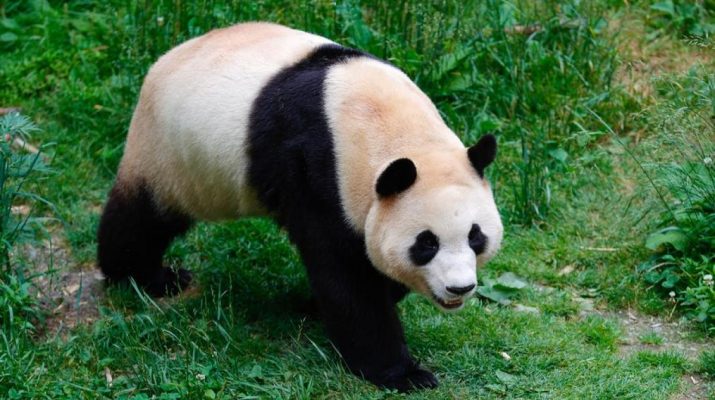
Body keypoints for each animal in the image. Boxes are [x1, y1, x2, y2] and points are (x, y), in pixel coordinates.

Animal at [98, 22, 503, 392]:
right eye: (426, 243)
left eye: (475, 237)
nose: (460, 288)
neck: (385, 123)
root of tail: (166, 58)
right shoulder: (319, 169)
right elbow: (344, 274)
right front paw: (403, 373)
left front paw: (313, 305)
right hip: (170, 154)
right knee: (143, 218)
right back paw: (145, 276)